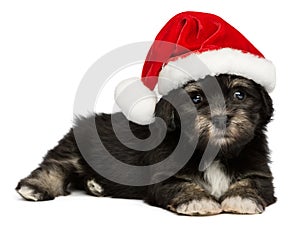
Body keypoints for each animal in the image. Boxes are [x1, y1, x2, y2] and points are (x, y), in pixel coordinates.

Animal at [15, 74, 276, 215]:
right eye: (195, 98)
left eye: (239, 94)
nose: (221, 118)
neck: (214, 153)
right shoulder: (166, 176)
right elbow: (184, 185)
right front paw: (197, 200)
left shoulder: (260, 173)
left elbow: (251, 182)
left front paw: (241, 198)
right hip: (74, 147)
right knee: (56, 165)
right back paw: (35, 187)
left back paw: (95, 185)